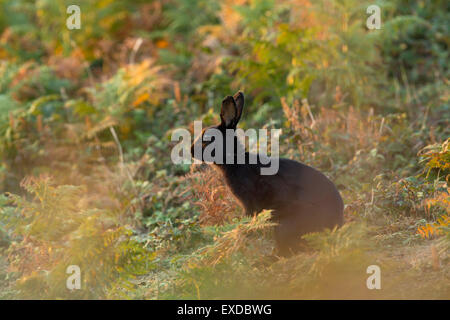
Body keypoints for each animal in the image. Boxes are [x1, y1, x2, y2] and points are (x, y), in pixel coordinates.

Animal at [191, 91, 344, 256]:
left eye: (207, 140)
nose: (191, 150)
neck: (236, 162)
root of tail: (336, 223)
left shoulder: (249, 203)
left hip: (285, 225)